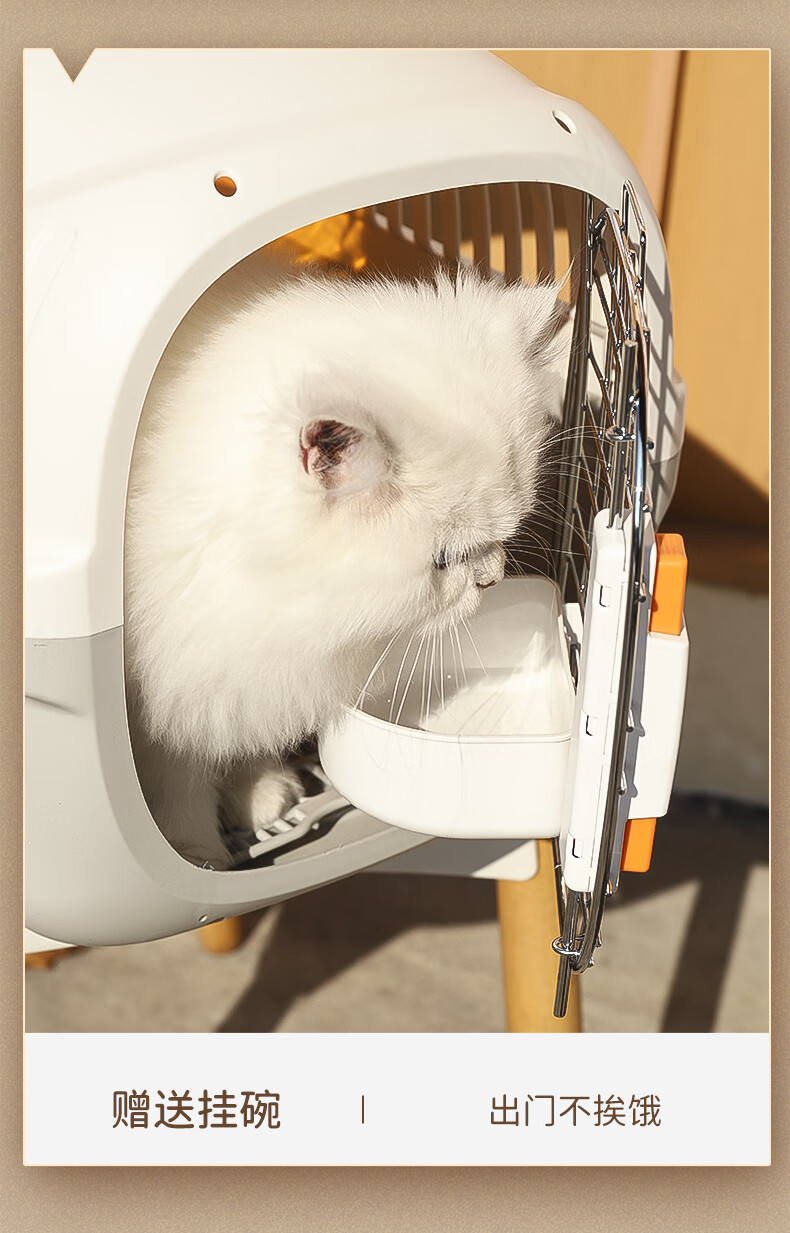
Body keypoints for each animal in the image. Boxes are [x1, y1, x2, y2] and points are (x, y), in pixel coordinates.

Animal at [123, 250, 569, 868]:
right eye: (443, 560)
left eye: (506, 534)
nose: (490, 579)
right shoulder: (170, 691)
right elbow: (178, 787)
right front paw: (201, 857)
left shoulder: (240, 673)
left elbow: (230, 747)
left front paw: (260, 794)